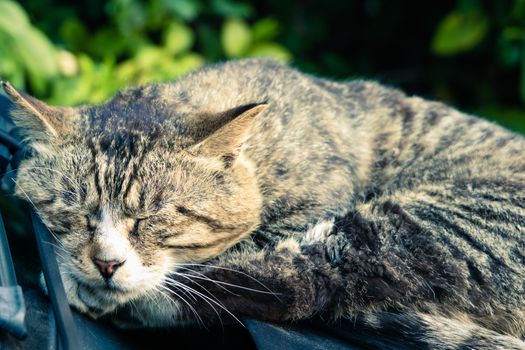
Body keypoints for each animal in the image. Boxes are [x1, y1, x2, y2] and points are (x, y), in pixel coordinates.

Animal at [1, 58, 524, 348]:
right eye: (75, 212)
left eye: (155, 216)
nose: (107, 264)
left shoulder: (315, 206)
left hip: (416, 224)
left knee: (299, 280)